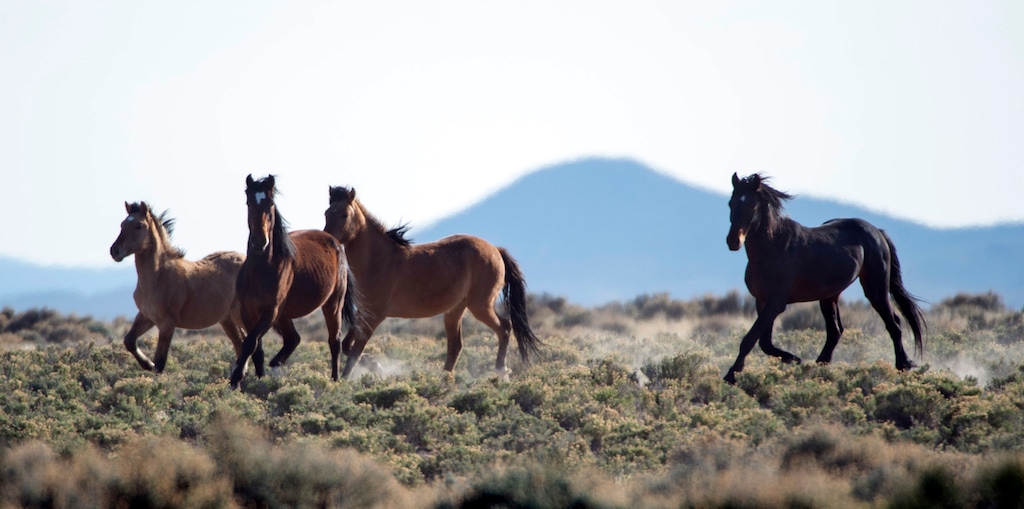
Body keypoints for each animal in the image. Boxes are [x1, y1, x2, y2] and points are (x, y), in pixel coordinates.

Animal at [110, 201, 246, 373]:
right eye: (122, 224)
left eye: (139, 226)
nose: (114, 251)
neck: (159, 276)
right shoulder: (147, 316)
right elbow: (129, 341)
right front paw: (147, 364)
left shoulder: (167, 323)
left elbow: (160, 362)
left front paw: (153, 368)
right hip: (228, 319)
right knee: (241, 344)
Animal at [230, 175, 358, 389]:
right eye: (249, 203)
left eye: (271, 204)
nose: (260, 242)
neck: (261, 269)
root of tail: (335, 241)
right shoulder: (248, 312)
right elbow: (256, 348)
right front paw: (257, 378)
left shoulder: (270, 312)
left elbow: (250, 343)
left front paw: (236, 379)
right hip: (285, 314)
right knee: (293, 339)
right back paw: (276, 363)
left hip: (332, 304)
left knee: (334, 341)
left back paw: (334, 380)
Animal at [324, 186, 542, 379]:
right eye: (326, 213)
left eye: (344, 214)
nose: (328, 240)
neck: (379, 259)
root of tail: (496, 249)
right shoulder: (363, 313)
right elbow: (348, 346)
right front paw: (375, 365)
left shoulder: (374, 316)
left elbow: (354, 354)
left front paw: (345, 382)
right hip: (455, 310)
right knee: (456, 346)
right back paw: (444, 380)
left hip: (480, 305)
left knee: (504, 328)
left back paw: (500, 372)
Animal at [723, 172, 926, 384]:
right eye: (731, 203)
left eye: (752, 206)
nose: (733, 241)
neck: (773, 248)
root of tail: (877, 232)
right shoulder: (762, 302)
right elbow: (764, 342)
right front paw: (794, 359)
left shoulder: (775, 303)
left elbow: (750, 339)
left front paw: (731, 375)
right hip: (829, 296)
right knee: (836, 331)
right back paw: (819, 366)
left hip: (875, 289)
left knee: (893, 323)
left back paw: (903, 366)